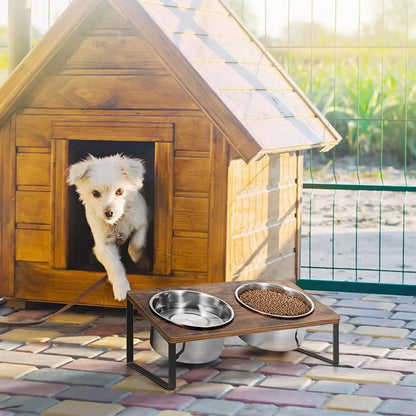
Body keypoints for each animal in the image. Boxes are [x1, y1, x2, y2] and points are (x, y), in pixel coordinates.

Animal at [66, 154, 148, 300]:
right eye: (95, 193)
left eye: (120, 191)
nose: (109, 213)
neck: (117, 222)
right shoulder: (103, 246)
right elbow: (114, 266)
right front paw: (121, 288)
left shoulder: (142, 221)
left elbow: (136, 244)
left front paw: (137, 258)